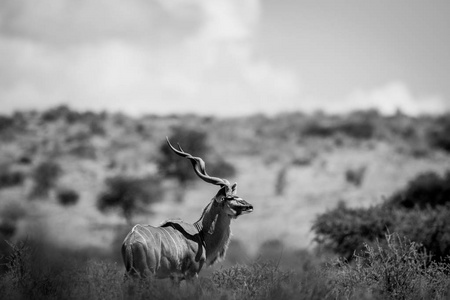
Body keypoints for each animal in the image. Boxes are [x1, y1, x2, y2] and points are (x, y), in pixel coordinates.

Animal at [121, 138, 253, 282]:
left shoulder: (175, 278)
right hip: (147, 275)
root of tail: (130, 241)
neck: (200, 232)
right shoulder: (192, 274)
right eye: (229, 198)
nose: (249, 206)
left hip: (131, 275)